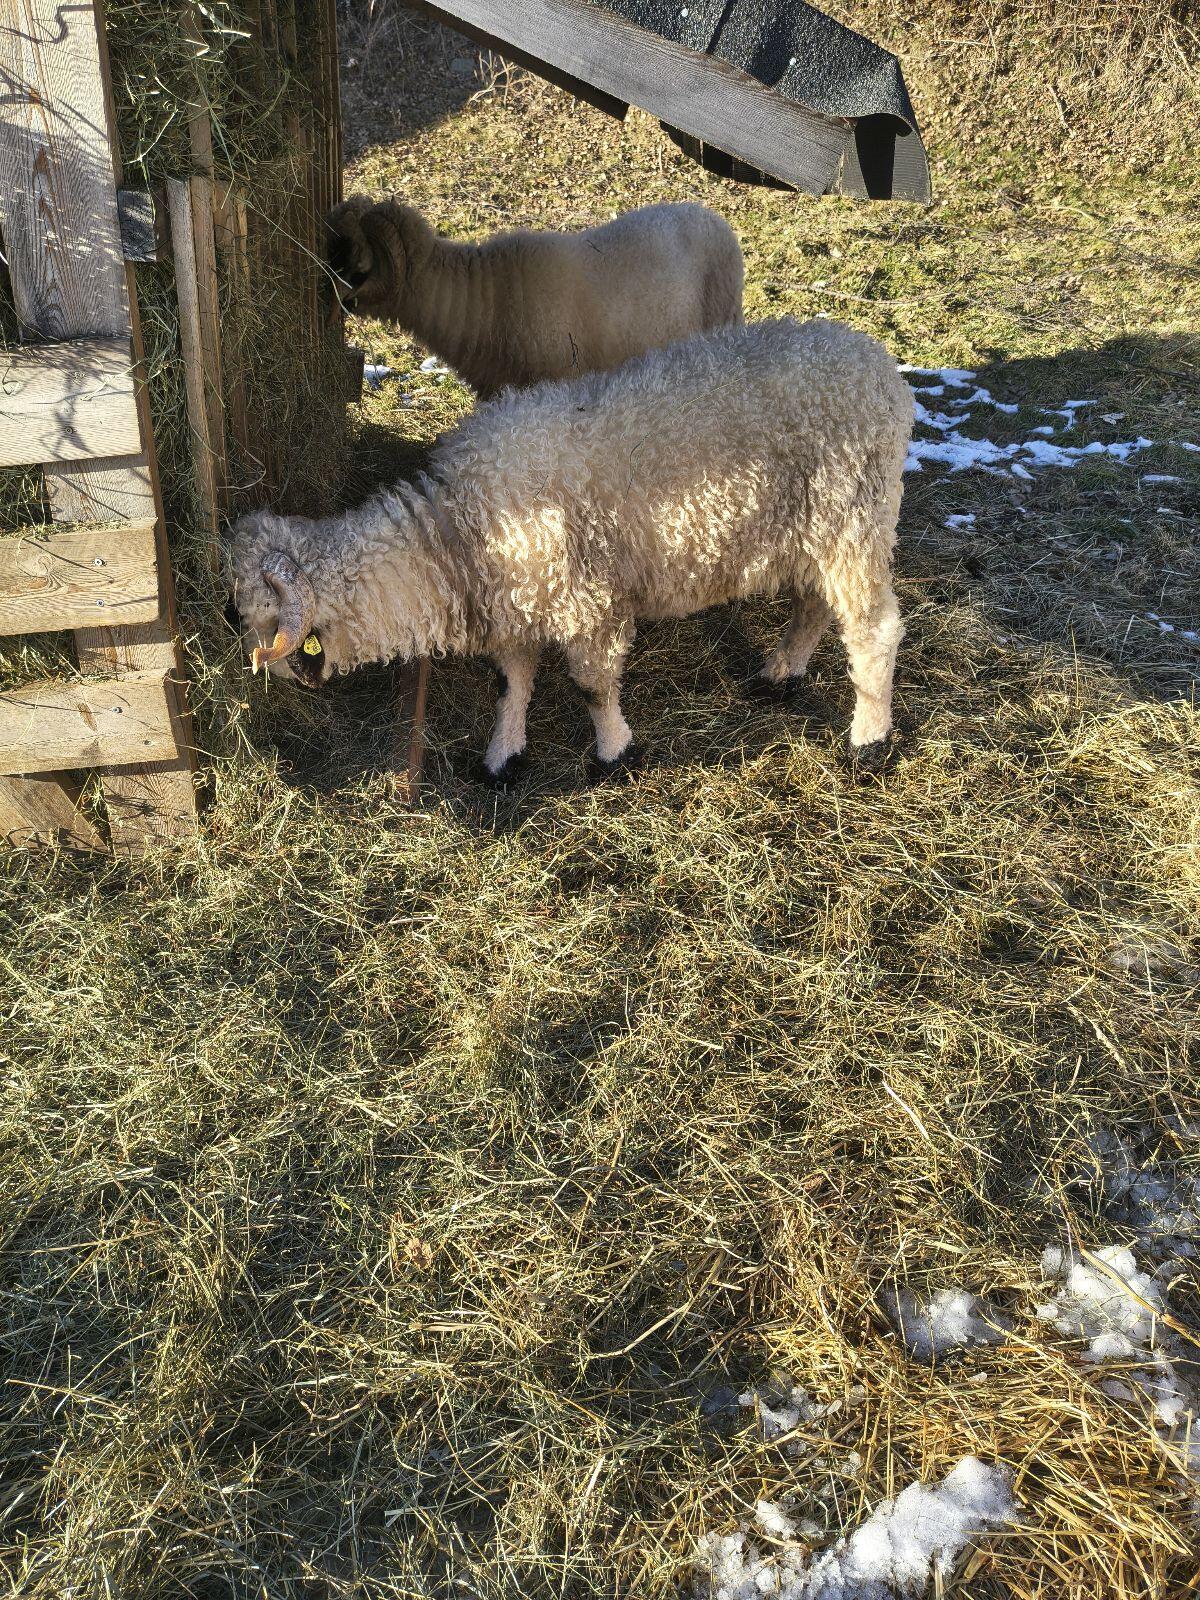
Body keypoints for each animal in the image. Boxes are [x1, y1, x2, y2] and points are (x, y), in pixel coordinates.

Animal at [229, 316, 913, 780]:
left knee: (873, 628)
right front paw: (502, 756)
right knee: (815, 607)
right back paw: (781, 672)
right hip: (813, 533)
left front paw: (614, 752)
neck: (457, 536)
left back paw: (869, 737)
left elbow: (592, 686)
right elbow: (511, 684)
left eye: (258, 617)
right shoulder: (517, 609)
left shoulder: (588, 604)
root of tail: (881, 368)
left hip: (854, 517)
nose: (271, 676)